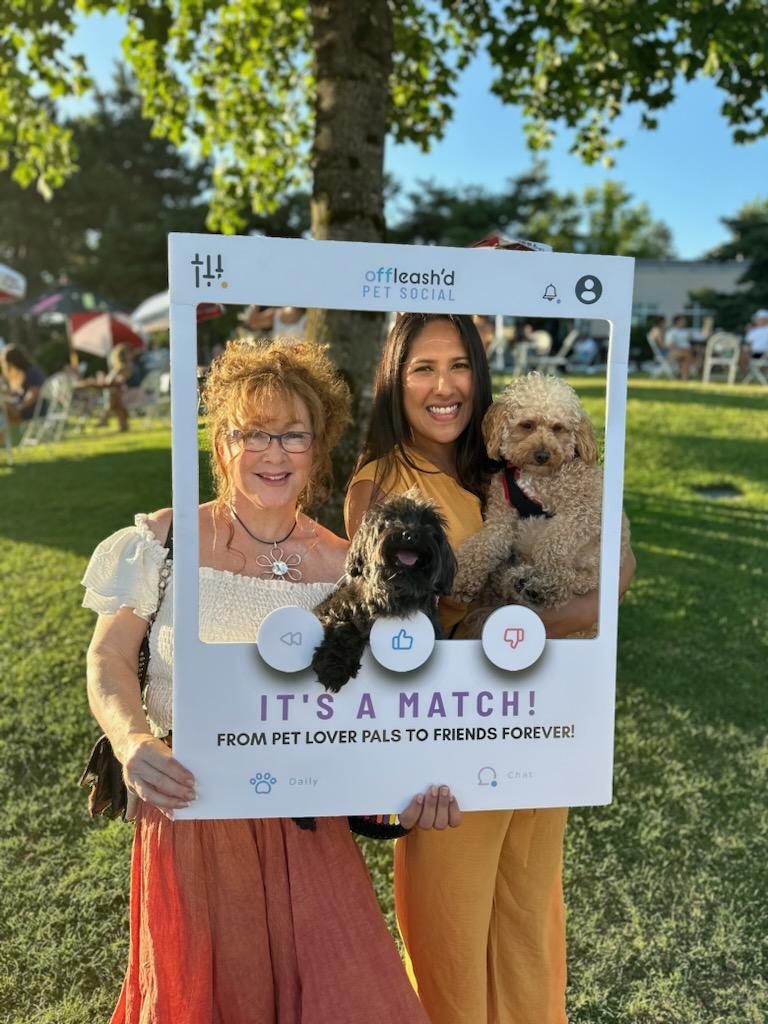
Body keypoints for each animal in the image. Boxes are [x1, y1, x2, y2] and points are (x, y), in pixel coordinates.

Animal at [311, 491, 457, 694]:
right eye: (389, 520)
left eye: (427, 523)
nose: (410, 534)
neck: (395, 595)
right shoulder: (329, 610)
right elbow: (343, 628)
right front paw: (333, 668)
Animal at [452, 372, 630, 615]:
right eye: (527, 425)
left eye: (558, 428)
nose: (543, 455)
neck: (536, 477)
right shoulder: (500, 519)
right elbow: (482, 544)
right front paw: (461, 577)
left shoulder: (586, 511)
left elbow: (550, 545)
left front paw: (548, 578)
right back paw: (521, 581)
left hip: (593, 566)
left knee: (574, 582)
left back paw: (542, 587)